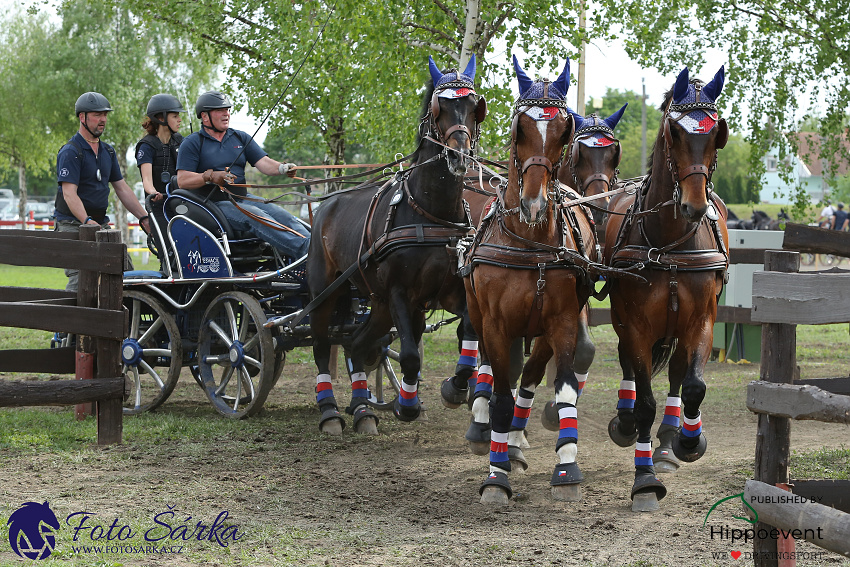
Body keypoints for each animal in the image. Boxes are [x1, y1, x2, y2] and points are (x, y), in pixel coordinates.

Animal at [308, 54, 486, 434]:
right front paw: (407, 406)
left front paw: (455, 387)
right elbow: (409, 354)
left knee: (356, 344)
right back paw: (330, 411)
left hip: (378, 304)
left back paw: (363, 408)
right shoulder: (400, 293)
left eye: (473, 106)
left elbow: (467, 332)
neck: (431, 213)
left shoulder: (451, 292)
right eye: (438, 106)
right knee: (321, 345)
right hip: (326, 292)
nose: (459, 156)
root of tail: (326, 204)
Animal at [458, 55, 596, 504]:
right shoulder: (497, 324)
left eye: (563, 130)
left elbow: (563, 388)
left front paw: (567, 466)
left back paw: (515, 442)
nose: (533, 203)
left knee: (531, 374)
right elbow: (500, 395)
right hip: (482, 318)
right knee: (493, 369)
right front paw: (496, 475)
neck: (529, 240)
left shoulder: (563, 321)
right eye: (520, 128)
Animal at [604, 64, 728, 512]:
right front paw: (644, 480)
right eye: (675, 131)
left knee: (677, 373)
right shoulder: (636, 326)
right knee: (629, 366)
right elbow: (644, 402)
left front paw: (689, 441)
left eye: (716, 132)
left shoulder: (701, 320)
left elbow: (693, 385)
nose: (695, 205)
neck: (670, 242)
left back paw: (672, 441)